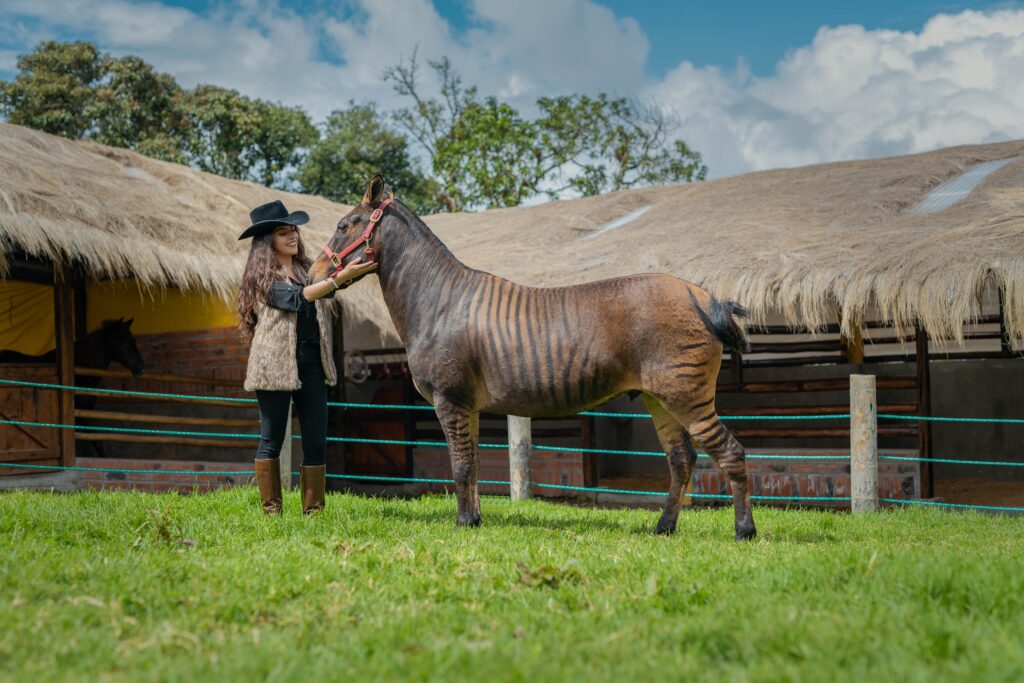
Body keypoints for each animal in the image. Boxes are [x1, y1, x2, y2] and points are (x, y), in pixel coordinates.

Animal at [313, 176, 761, 540]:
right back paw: (664, 528)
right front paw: (475, 520)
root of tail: (706, 298)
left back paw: (744, 531)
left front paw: (462, 523)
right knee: (682, 460)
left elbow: (460, 465)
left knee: (731, 453)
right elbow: (474, 462)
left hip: (688, 396)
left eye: (343, 225)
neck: (437, 301)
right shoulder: (469, 406)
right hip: (660, 400)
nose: (313, 275)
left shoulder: (449, 400)